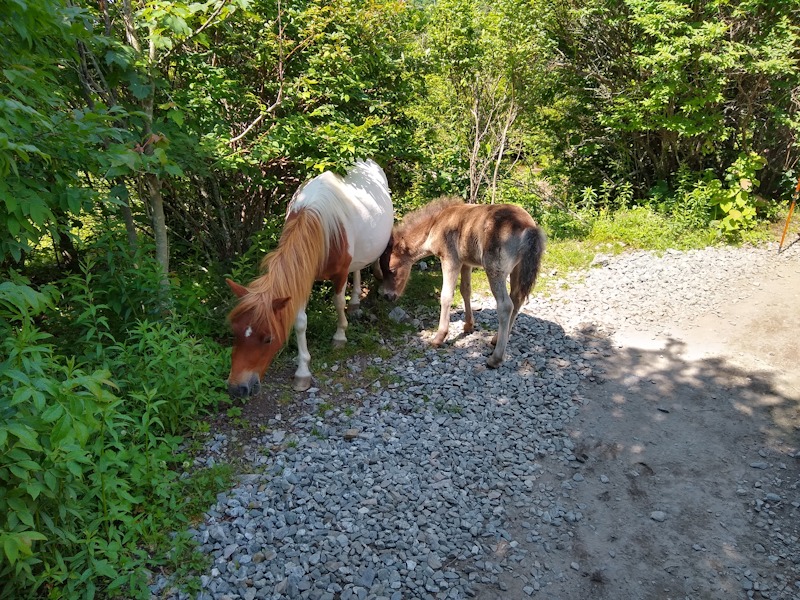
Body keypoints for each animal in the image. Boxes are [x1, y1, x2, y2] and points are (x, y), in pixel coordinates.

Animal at [227, 159, 392, 396]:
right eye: (235, 333)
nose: (237, 388)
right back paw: (356, 301)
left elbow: (338, 302)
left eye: (268, 339)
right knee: (358, 268)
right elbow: (300, 322)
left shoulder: (339, 273)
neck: (318, 223)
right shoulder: (302, 277)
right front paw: (303, 372)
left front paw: (340, 336)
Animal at [380, 197, 544, 368]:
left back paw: (495, 358)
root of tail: (529, 227)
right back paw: (495, 339)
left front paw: (439, 337)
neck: (436, 223)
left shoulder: (450, 260)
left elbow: (446, 296)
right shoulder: (466, 263)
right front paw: (468, 326)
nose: (387, 296)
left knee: (506, 306)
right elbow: (465, 290)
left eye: (392, 269)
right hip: (517, 268)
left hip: (495, 270)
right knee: (517, 299)